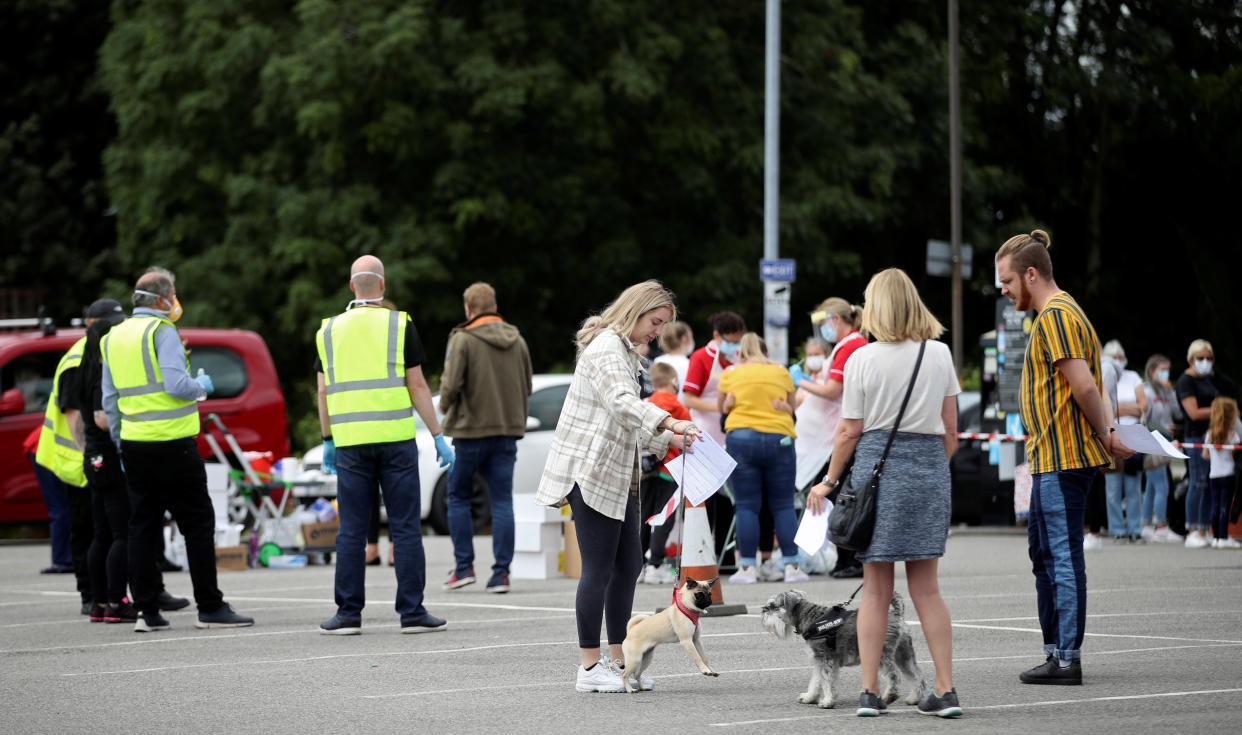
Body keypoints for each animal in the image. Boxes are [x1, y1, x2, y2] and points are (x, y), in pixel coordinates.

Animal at [755, 588, 924, 710]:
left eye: (773, 606)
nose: (762, 610)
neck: (808, 617)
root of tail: (897, 614)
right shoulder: (819, 661)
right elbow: (816, 680)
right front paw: (809, 697)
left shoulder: (825, 659)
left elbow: (827, 681)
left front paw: (827, 702)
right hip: (904, 655)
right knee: (916, 675)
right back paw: (914, 698)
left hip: (882, 654)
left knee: (893, 675)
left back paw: (889, 696)